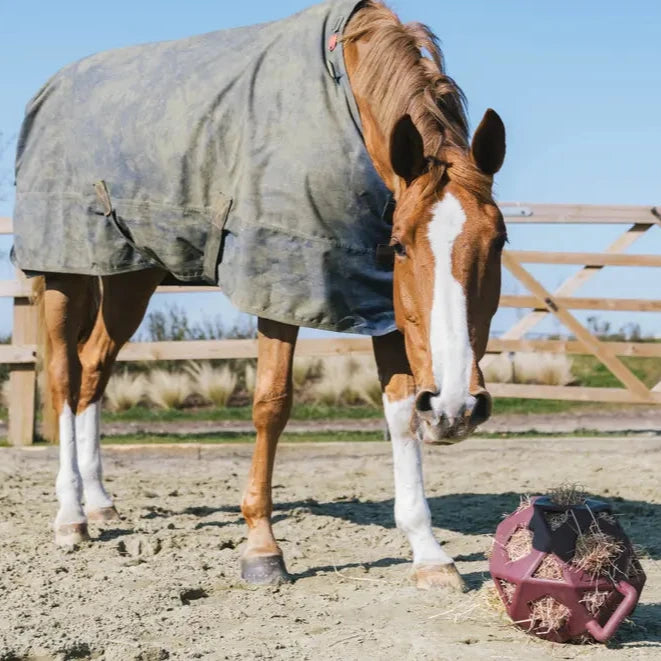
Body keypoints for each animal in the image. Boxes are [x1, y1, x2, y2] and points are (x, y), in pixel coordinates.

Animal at [27, 0, 506, 588]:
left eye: (500, 241)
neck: (343, 98)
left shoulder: (381, 301)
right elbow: (271, 404)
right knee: (64, 377)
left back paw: (98, 502)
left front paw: (428, 552)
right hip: (62, 272)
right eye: (399, 246)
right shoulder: (279, 277)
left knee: (95, 367)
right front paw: (261, 547)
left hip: (128, 277)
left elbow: (400, 410)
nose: (457, 410)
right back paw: (71, 516)